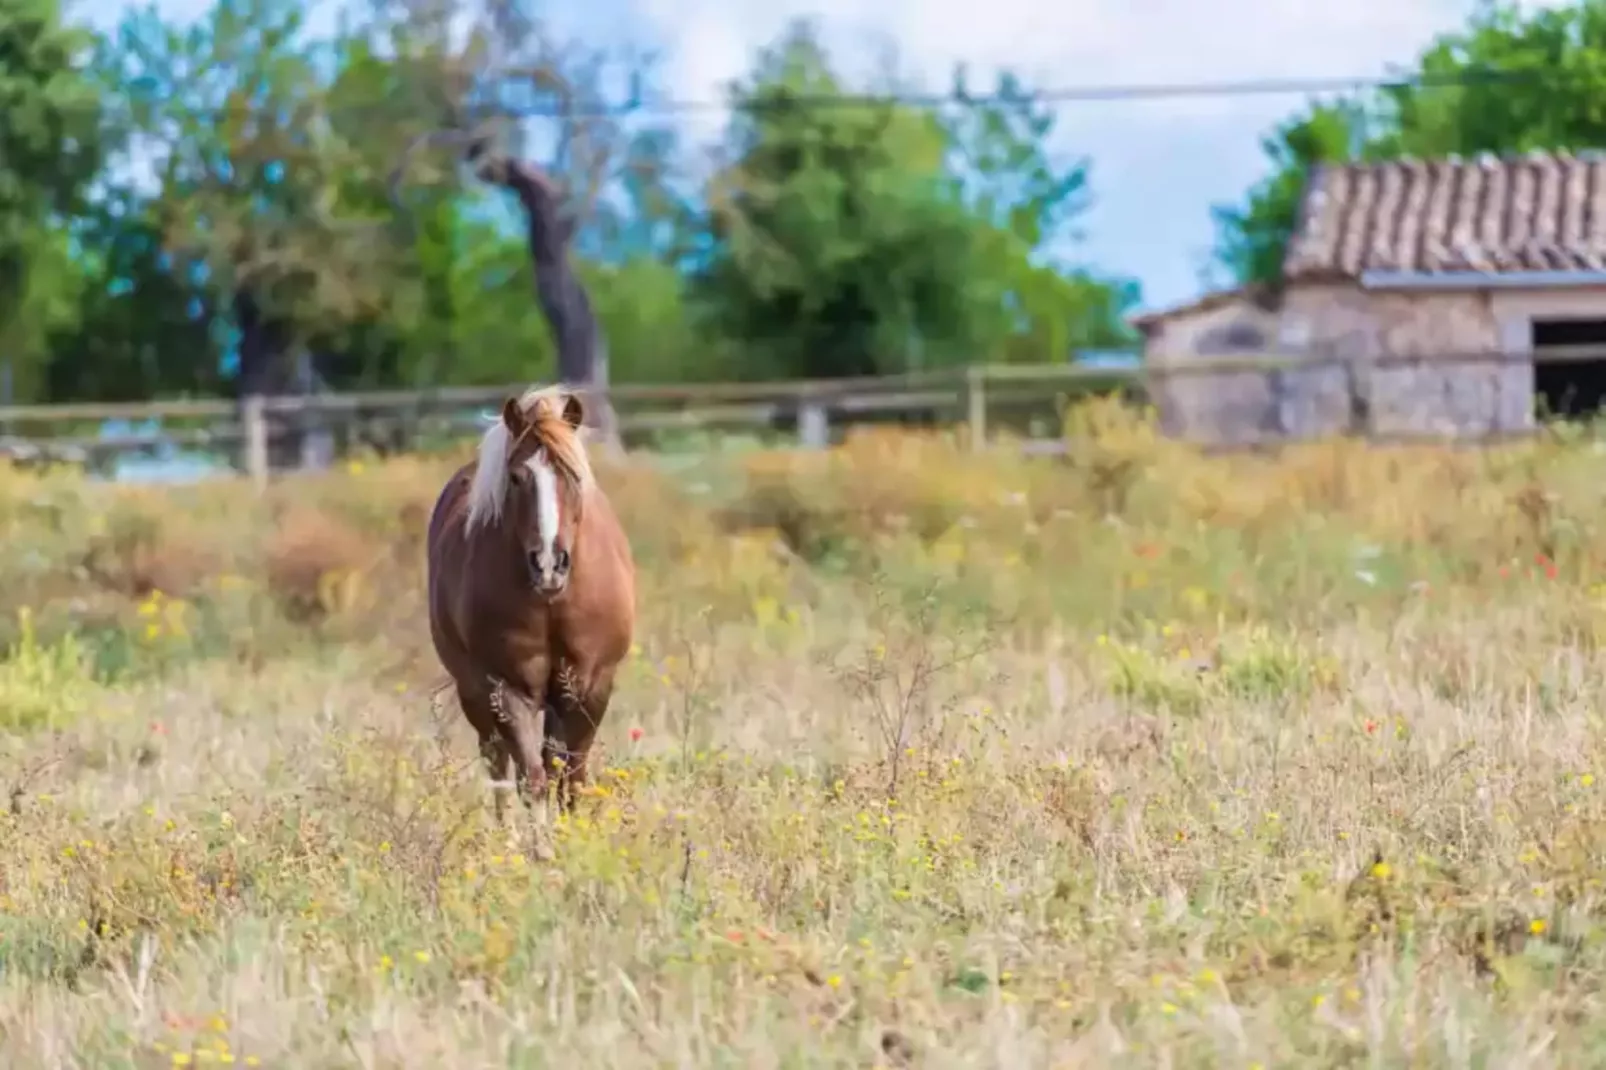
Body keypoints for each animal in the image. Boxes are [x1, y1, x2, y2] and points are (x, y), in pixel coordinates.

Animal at [427, 385, 632, 841]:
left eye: (572, 475)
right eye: (518, 478)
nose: (549, 564)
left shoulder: (591, 686)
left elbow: (569, 776)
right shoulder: (506, 688)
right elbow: (532, 779)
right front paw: (542, 849)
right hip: (475, 693)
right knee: (498, 764)